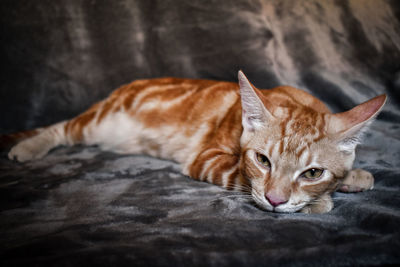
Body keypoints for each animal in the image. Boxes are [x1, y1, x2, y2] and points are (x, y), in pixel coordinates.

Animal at [4, 70, 386, 214]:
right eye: (262, 160)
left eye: (312, 172)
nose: (276, 201)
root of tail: (124, 86)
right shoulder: (207, 158)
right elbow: (238, 177)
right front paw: (318, 202)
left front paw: (353, 177)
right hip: (98, 123)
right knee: (62, 127)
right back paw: (28, 147)